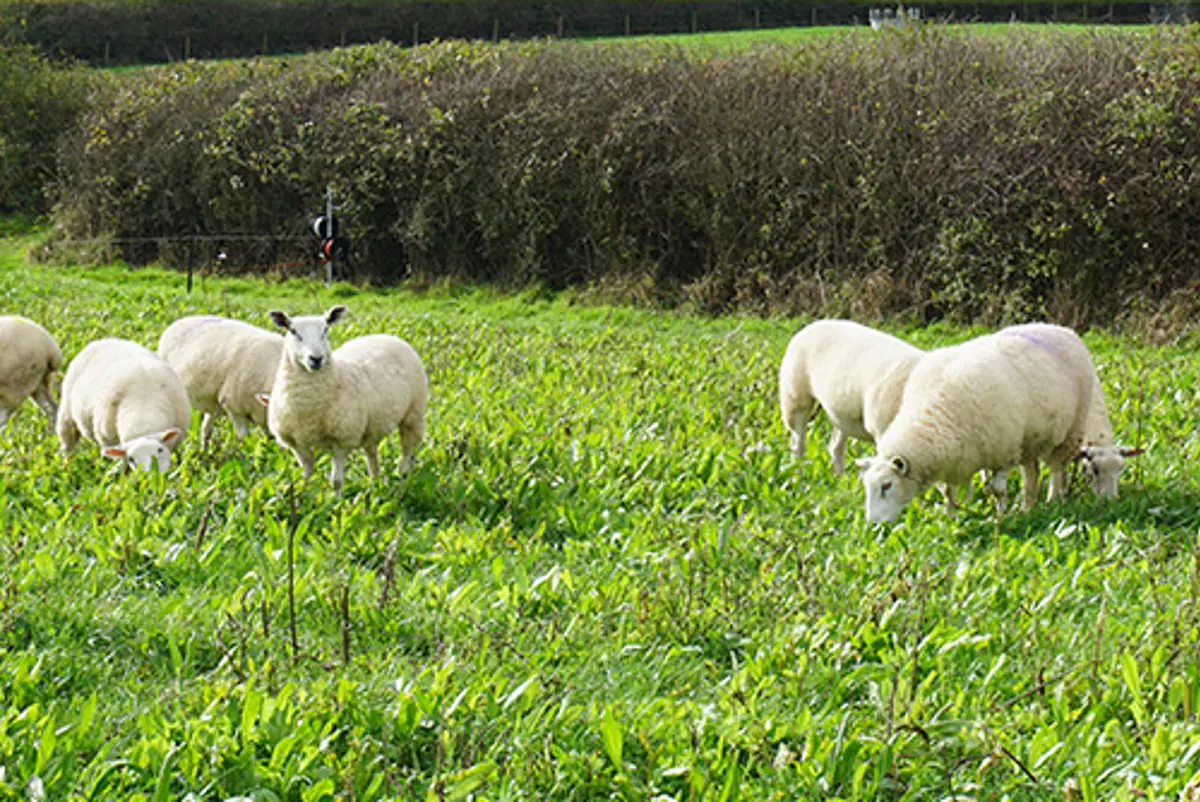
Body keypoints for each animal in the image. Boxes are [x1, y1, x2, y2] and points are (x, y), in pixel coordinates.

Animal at [57, 338, 190, 471]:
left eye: (160, 450)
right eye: (131, 459)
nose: (150, 473)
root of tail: (105, 340)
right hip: (67, 409)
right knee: (67, 441)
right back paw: (67, 465)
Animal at [158, 315, 283, 450]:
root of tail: (180, 321)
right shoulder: (234, 409)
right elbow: (244, 439)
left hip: (213, 406)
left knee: (206, 429)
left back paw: (204, 450)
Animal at [263, 305, 427, 493]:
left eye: (325, 331)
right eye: (293, 331)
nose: (316, 359)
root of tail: (388, 336)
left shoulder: (342, 441)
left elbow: (336, 482)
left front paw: (336, 500)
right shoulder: (296, 443)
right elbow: (306, 474)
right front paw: (303, 494)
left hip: (413, 413)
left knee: (408, 447)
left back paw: (403, 477)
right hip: (372, 424)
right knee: (371, 453)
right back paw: (375, 482)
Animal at [778, 319, 924, 474]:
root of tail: (816, 323)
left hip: (842, 414)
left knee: (835, 447)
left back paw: (838, 478)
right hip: (796, 396)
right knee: (797, 444)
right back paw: (797, 473)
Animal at [856, 322, 1096, 523]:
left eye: (887, 485)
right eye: (867, 486)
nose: (873, 525)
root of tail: (1060, 328)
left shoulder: (1003, 452)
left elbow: (997, 491)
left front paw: (1000, 516)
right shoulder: (951, 460)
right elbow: (948, 493)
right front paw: (950, 519)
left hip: (1070, 431)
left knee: (1056, 468)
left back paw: (1053, 499)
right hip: (1029, 440)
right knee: (1032, 472)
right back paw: (1028, 506)